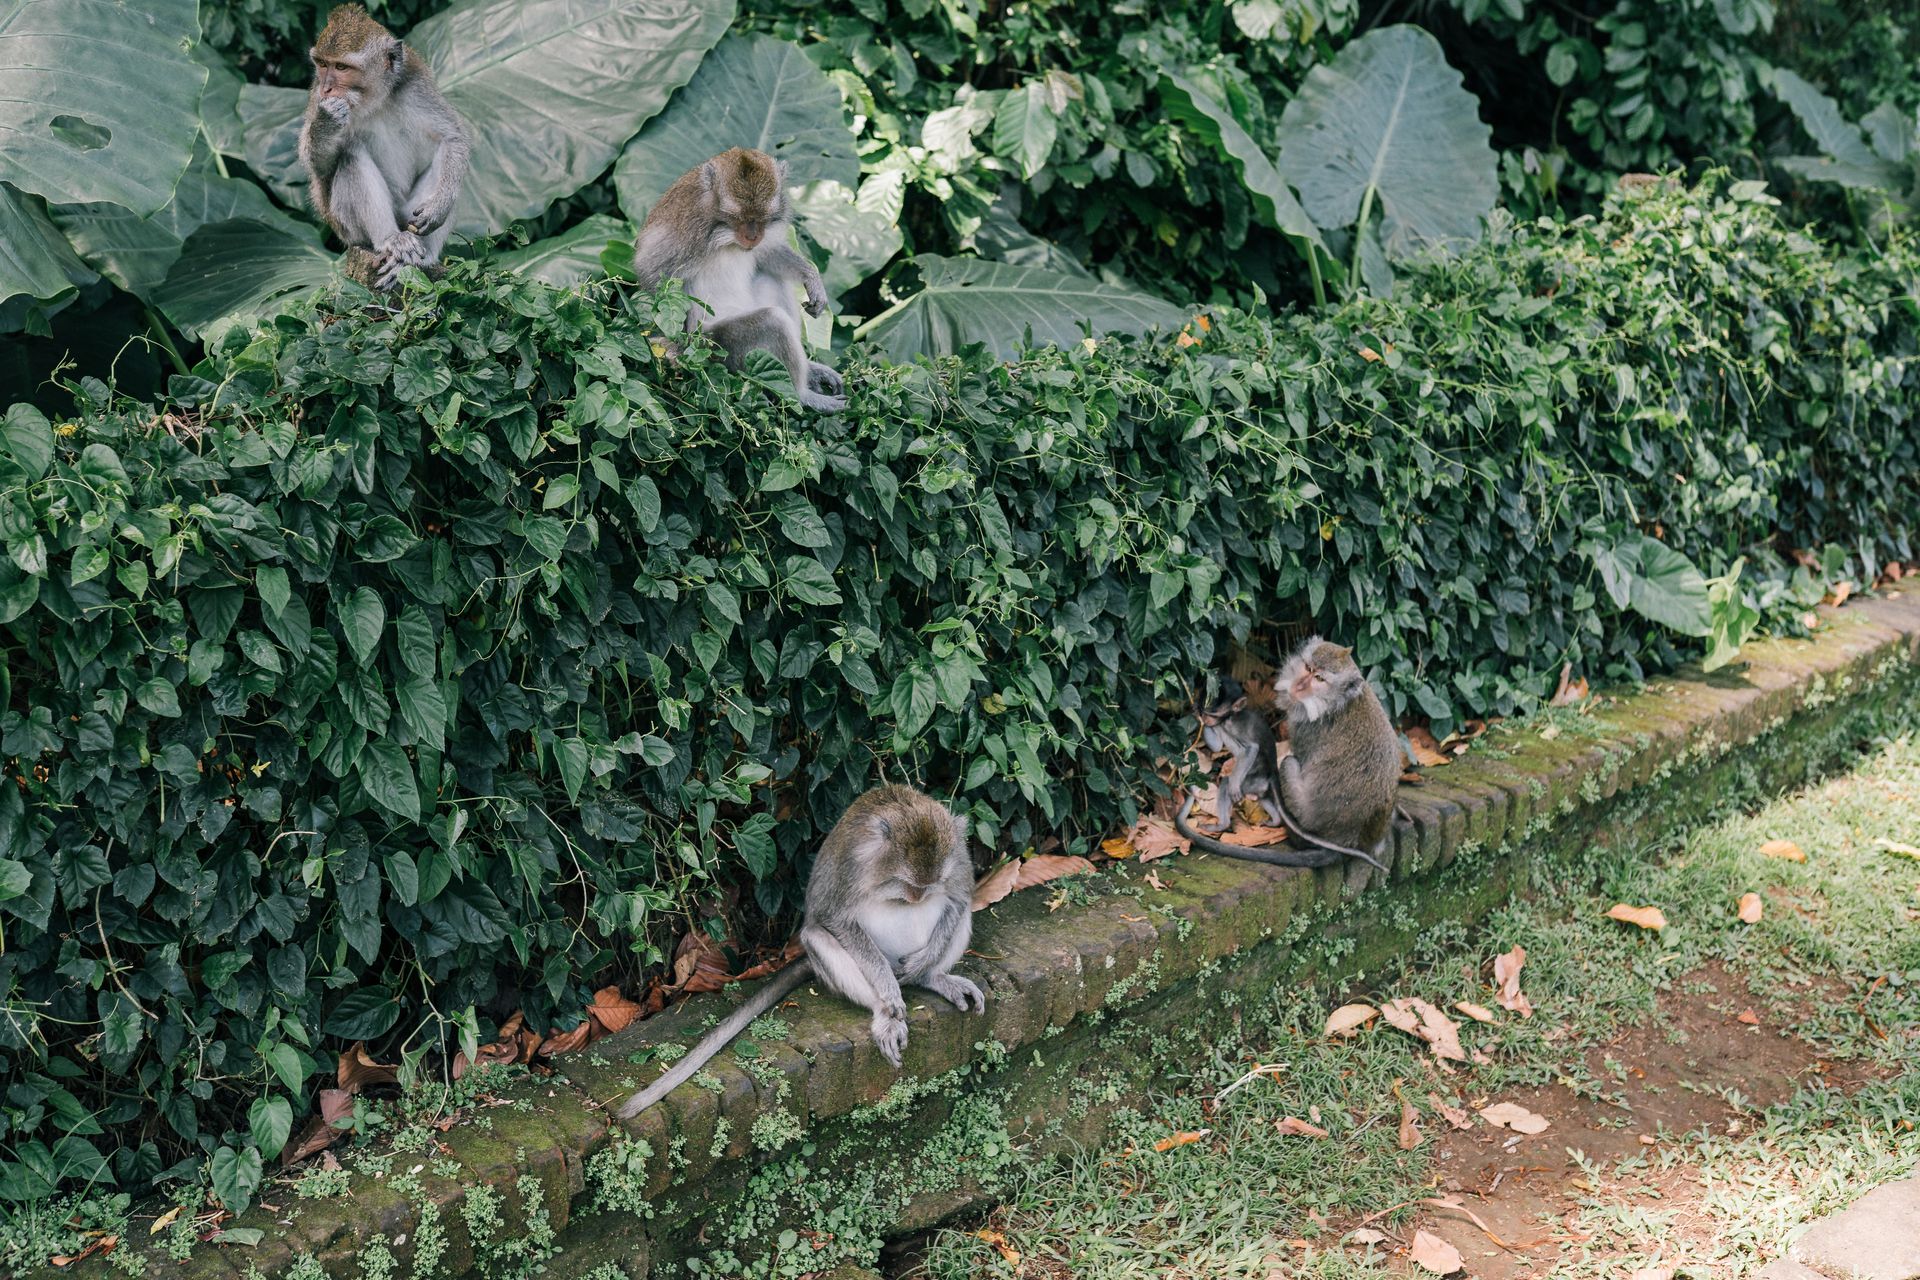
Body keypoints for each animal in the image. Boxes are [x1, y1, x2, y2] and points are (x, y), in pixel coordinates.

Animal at [299, 4, 470, 290]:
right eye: (322, 64)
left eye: (341, 66)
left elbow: (452, 138)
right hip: (350, 230)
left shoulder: (416, 85)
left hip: (407, 213)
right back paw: (391, 240)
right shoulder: (315, 98)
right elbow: (320, 169)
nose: (327, 88)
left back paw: (421, 258)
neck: (375, 99)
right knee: (351, 155)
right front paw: (326, 122)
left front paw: (440, 205)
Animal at [617, 784, 983, 1121]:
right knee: (817, 935)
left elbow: (959, 896)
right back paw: (884, 1015)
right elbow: (835, 917)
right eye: (909, 885)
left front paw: (923, 964)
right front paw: (888, 993)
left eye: (926, 886)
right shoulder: (853, 864)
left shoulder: (958, 855)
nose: (918, 897)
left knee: (961, 909)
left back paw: (931, 977)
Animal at [632, 147, 848, 413]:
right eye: (740, 217)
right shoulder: (688, 228)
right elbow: (651, 270)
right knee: (772, 321)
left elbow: (766, 253)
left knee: (771, 278)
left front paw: (812, 278)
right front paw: (672, 346)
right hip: (720, 348)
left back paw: (811, 370)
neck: (724, 233)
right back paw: (802, 395)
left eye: (762, 218)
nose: (752, 236)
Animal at [1172, 675, 1386, 872]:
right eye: (1205, 711)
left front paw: (1233, 783)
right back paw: (1274, 821)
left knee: (1227, 783)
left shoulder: (1233, 725)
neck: (1229, 718)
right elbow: (1217, 746)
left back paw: (1222, 824)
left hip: (1251, 781)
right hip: (1259, 784)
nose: (1205, 718)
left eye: (1213, 713)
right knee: (1263, 797)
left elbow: (1250, 749)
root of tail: (1273, 771)